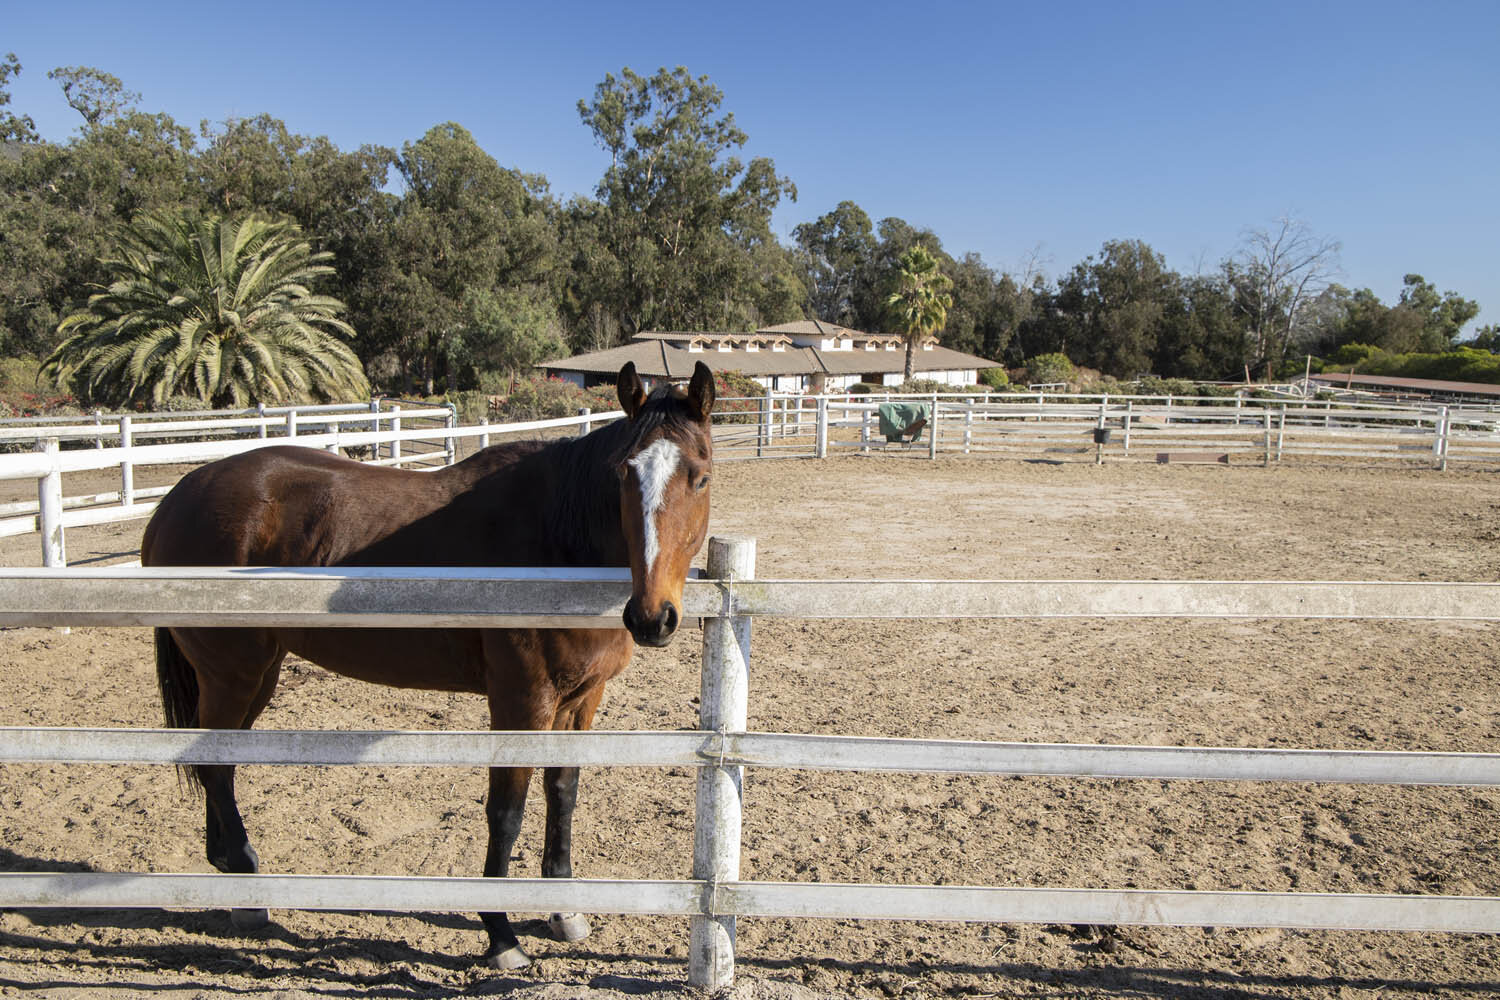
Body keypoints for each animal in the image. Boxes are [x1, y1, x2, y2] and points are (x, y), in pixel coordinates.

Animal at [141, 361, 716, 971]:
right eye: (624, 476)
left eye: (699, 477)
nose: (652, 618)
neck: (558, 543)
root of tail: (178, 498)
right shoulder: (520, 700)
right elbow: (506, 810)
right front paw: (501, 934)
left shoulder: (581, 699)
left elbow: (563, 792)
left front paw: (563, 911)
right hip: (233, 676)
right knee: (216, 768)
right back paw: (249, 893)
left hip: (257, 676)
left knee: (216, 763)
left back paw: (230, 869)